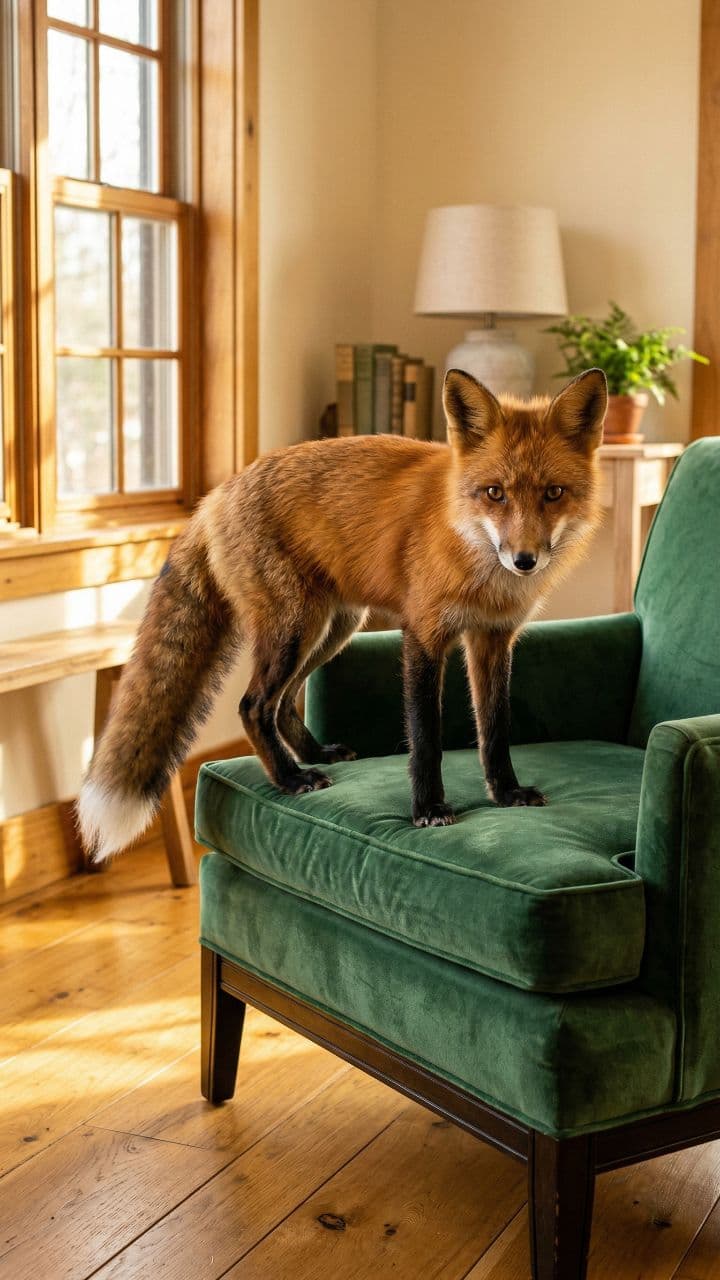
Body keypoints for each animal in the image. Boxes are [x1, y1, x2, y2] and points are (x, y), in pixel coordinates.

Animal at [78, 366, 607, 862]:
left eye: (553, 493)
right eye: (495, 493)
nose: (524, 560)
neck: (475, 558)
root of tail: (216, 495)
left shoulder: (493, 638)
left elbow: (496, 729)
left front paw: (505, 792)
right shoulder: (423, 633)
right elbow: (425, 738)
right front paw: (429, 809)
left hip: (333, 629)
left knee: (284, 703)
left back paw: (315, 755)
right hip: (295, 630)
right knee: (253, 705)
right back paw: (291, 778)